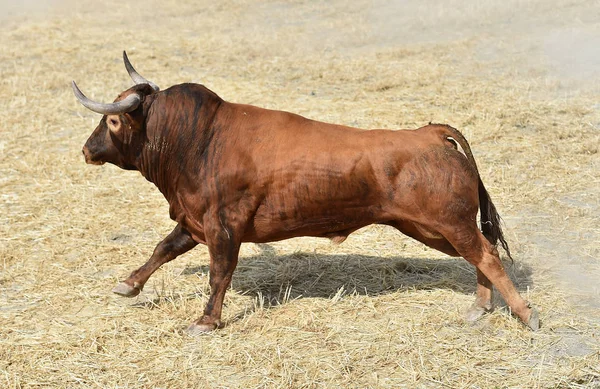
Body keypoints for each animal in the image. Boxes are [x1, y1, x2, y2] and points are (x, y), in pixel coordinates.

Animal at [71, 50, 540, 330]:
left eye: (112, 120)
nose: (87, 150)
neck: (199, 139)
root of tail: (430, 134)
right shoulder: (194, 221)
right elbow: (162, 250)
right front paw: (128, 285)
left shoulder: (223, 227)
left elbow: (219, 273)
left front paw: (206, 321)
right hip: (430, 227)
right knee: (479, 255)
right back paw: (480, 306)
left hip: (446, 222)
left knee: (487, 255)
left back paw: (525, 314)